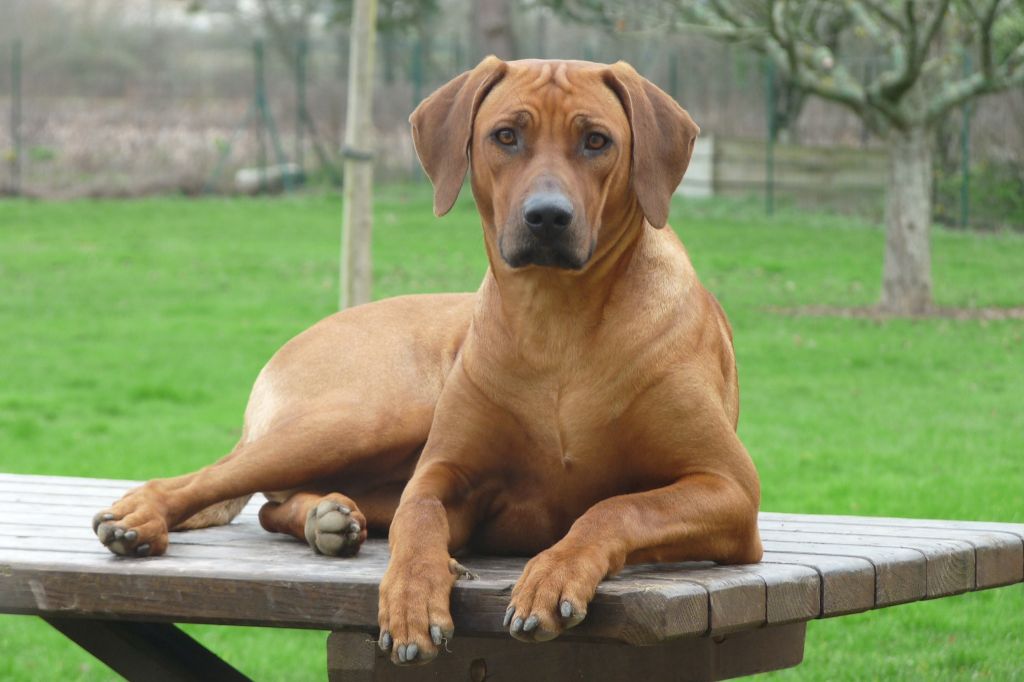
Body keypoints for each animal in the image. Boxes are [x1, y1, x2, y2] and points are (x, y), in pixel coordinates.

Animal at [92, 57, 763, 666]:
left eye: (597, 140)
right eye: (506, 136)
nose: (547, 216)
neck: (556, 323)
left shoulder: (731, 491)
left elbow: (616, 507)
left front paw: (553, 574)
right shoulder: (441, 476)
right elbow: (418, 521)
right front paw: (412, 598)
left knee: (273, 505)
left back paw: (326, 517)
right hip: (367, 417)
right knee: (214, 479)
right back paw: (142, 518)